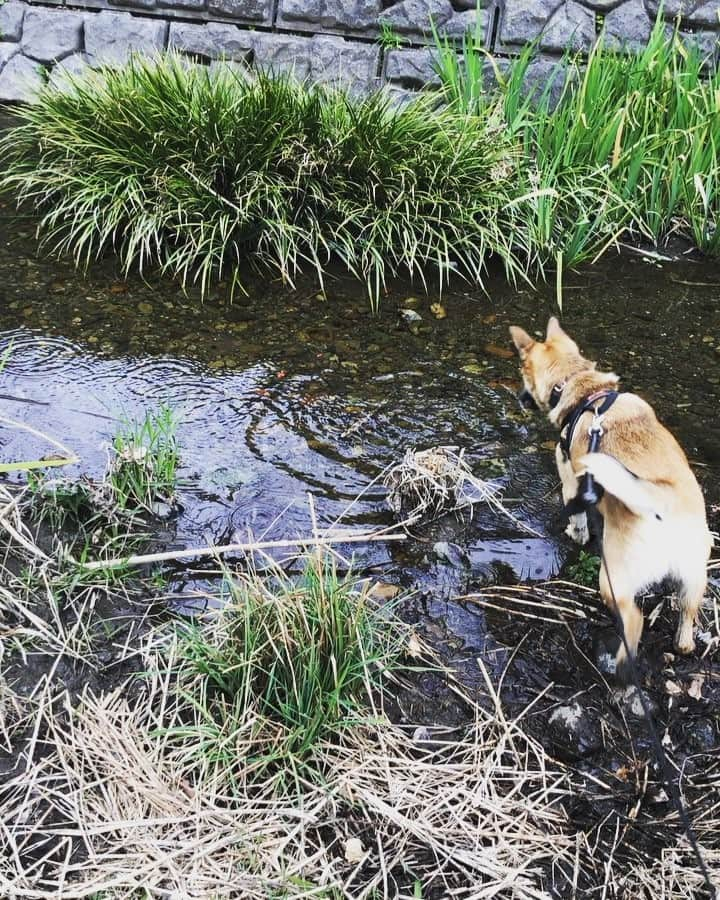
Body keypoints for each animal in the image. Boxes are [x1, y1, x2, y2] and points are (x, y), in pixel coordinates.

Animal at [510, 316, 712, 676]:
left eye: (523, 377)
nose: (519, 398)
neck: (584, 389)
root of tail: (662, 505)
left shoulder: (570, 480)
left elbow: (577, 520)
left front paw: (575, 533)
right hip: (694, 578)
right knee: (686, 622)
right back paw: (682, 642)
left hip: (612, 580)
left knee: (635, 620)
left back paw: (620, 663)